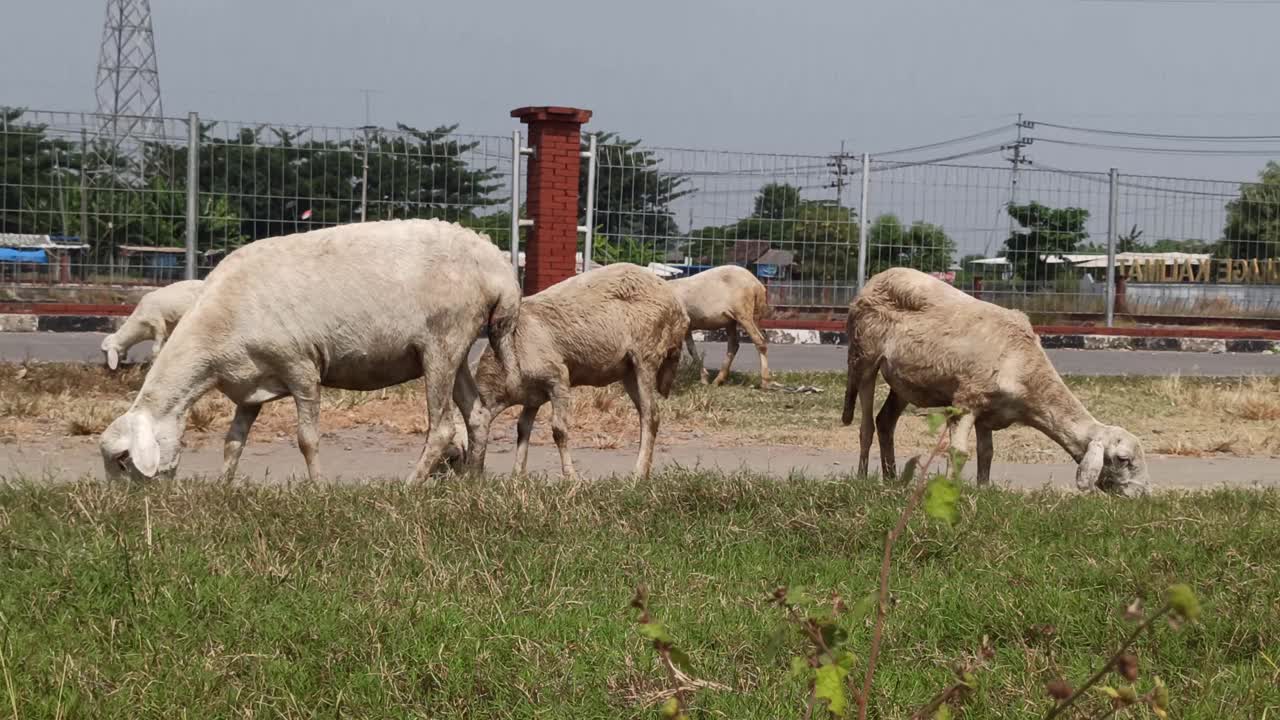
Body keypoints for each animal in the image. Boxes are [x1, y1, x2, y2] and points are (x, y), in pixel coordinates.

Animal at [97, 219, 519, 481]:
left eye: (122, 462)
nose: (128, 511)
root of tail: (497, 266)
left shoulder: (299, 364)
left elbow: (307, 439)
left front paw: (318, 488)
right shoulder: (248, 384)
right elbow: (233, 442)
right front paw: (222, 486)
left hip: (442, 342)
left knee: (443, 427)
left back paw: (410, 484)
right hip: (457, 349)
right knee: (478, 414)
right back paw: (473, 480)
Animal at [465, 260, 691, 479]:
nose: (467, 476)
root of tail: (678, 309)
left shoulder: (557, 379)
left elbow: (558, 430)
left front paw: (571, 478)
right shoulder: (532, 395)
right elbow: (522, 429)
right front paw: (517, 475)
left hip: (647, 354)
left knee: (651, 415)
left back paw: (639, 473)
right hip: (629, 371)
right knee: (645, 413)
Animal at [839, 266, 1152, 497]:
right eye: (1123, 459)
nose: (1142, 494)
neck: (1025, 370)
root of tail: (874, 280)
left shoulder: (989, 414)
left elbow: (987, 454)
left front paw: (983, 489)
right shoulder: (967, 399)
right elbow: (959, 452)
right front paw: (951, 491)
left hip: (903, 382)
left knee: (885, 421)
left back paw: (891, 478)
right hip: (863, 358)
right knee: (866, 425)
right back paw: (863, 478)